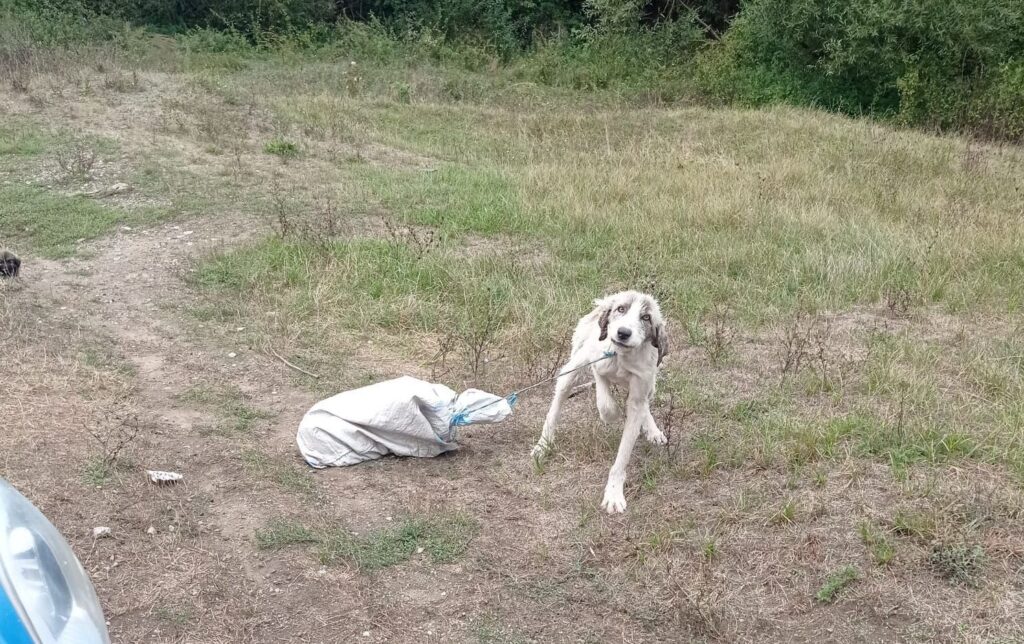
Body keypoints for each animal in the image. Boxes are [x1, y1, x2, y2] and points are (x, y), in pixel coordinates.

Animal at [532, 290, 667, 511]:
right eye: (621, 309)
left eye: (646, 317)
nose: (623, 333)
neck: (622, 358)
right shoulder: (597, 363)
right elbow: (604, 400)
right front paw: (611, 414)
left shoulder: (639, 391)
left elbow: (623, 453)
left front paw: (613, 493)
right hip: (572, 370)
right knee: (556, 406)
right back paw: (543, 444)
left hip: (650, 384)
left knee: (645, 404)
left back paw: (653, 431)